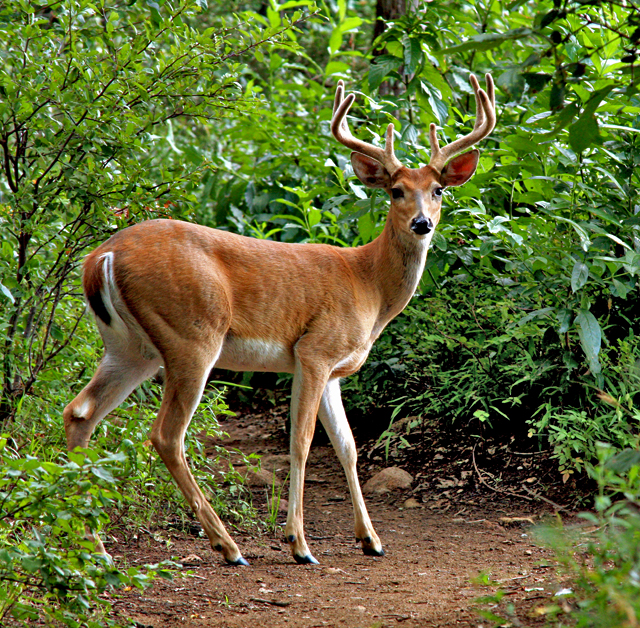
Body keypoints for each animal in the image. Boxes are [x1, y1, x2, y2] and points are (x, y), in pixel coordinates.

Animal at [63, 75, 496, 568]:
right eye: (396, 190)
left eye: (438, 190)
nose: (422, 223)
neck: (368, 283)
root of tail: (100, 258)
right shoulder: (315, 350)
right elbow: (302, 443)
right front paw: (299, 544)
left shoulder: (334, 371)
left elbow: (348, 447)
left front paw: (371, 539)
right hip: (191, 334)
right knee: (166, 434)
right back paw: (228, 547)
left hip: (130, 348)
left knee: (80, 412)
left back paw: (95, 547)